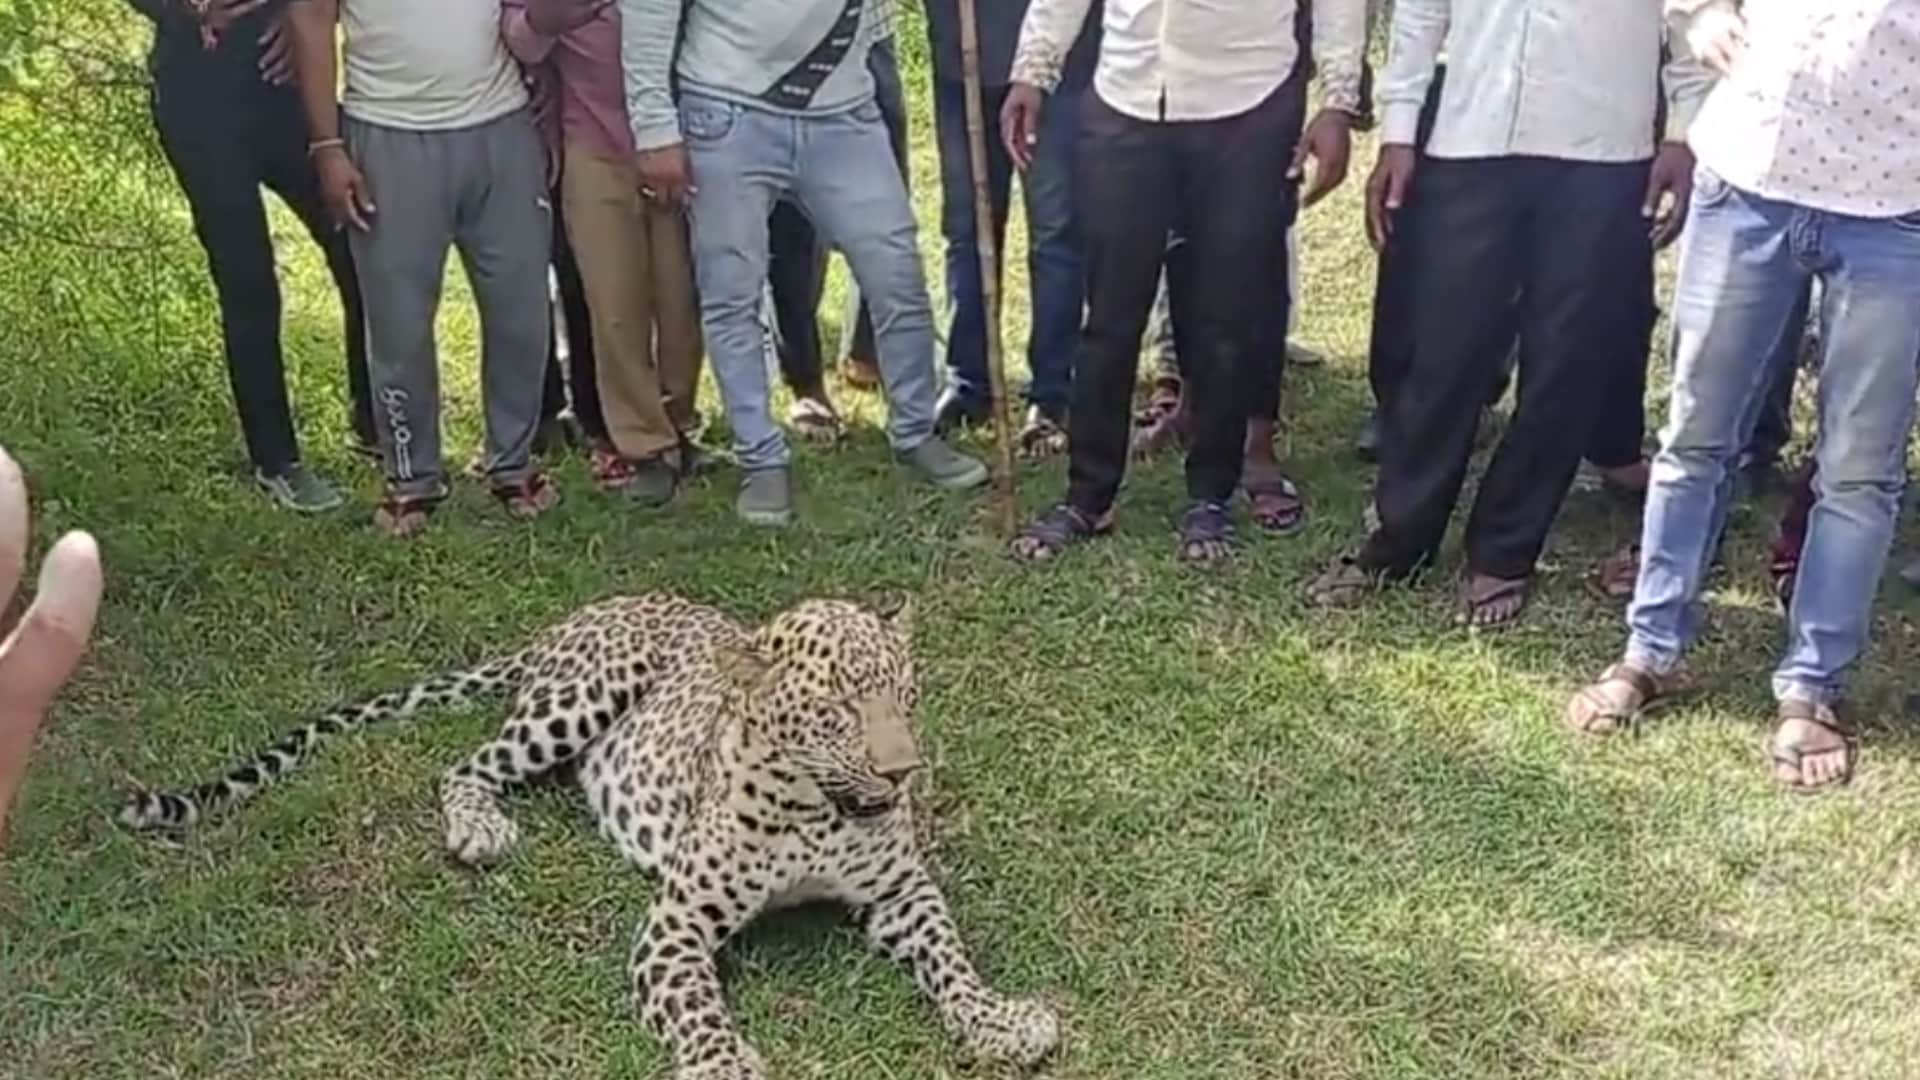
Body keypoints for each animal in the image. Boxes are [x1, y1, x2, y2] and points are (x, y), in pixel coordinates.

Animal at [118, 593, 1058, 1079]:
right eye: (835, 713)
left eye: (906, 696)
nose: (903, 773)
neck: (815, 809)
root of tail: (576, 614)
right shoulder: (676, 923)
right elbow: (699, 1010)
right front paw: (726, 1065)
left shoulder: (902, 890)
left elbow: (950, 956)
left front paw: (1001, 1020)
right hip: (579, 699)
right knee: (465, 766)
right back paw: (480, 828)